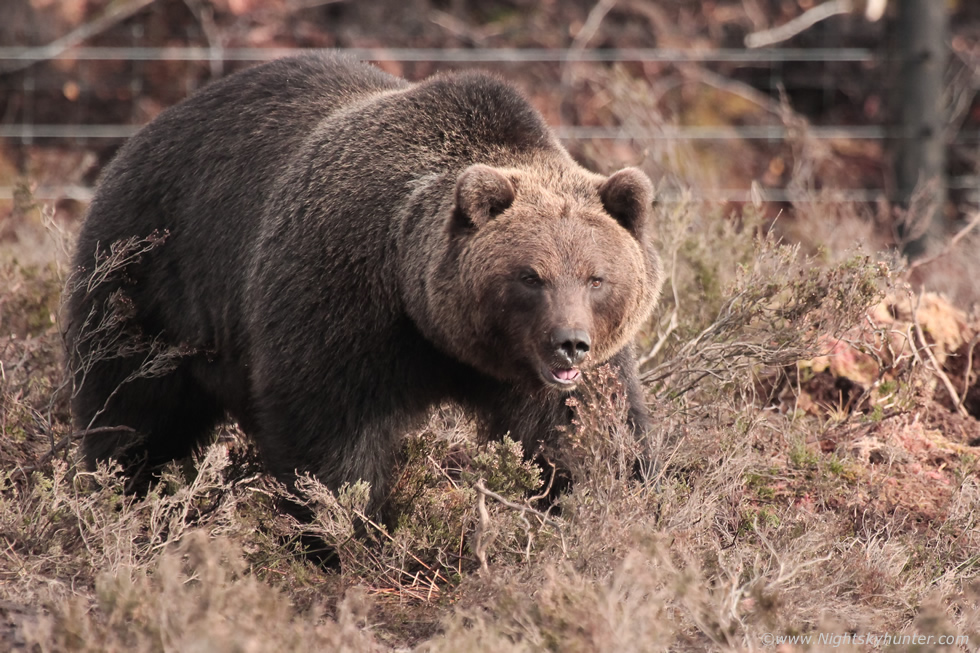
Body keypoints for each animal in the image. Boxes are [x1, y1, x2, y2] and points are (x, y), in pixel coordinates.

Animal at [65, 53, 668, 512]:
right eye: (529, 276)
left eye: (596, 277)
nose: (569, 342)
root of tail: (146, 132)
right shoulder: (343, 296)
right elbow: (330, 431)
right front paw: (346, 526)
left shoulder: (555, 373)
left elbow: (581, 430)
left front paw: (605, 492)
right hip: (147, 272)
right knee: (133, 406)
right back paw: (125, 491)